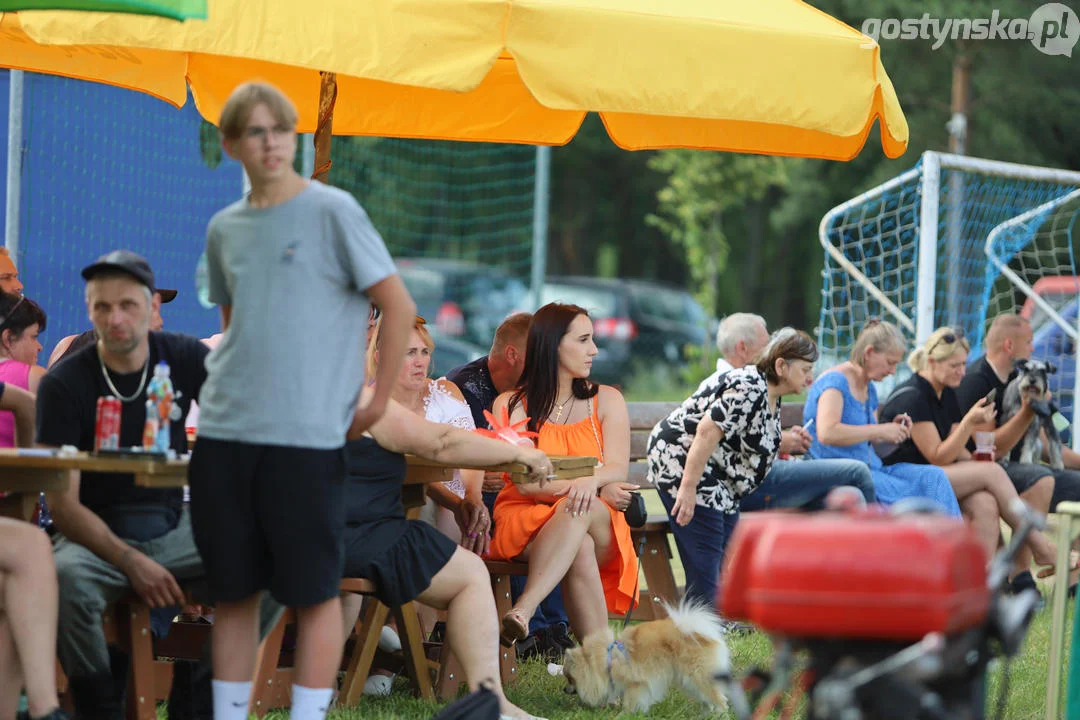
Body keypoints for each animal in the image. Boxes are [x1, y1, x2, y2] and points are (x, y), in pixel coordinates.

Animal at [561, 604, 730, 716]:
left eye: (569, 678)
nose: (564, 689)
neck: (608, 658)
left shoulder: (635, 684)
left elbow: (631, 701)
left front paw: (625, 714)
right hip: (687, 681)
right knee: (706, 699)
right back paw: (705, 716)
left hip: (698, 675)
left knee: (719, 699)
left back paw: (720, 714)